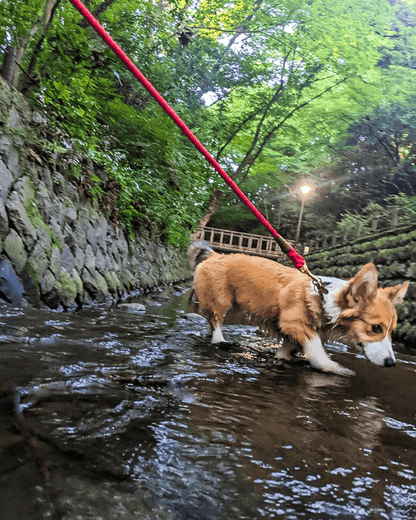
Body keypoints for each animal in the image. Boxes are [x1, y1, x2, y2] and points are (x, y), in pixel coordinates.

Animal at [189, 242, 410, 376]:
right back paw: (219, 340)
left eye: (392, 331)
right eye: (376, 328)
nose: (391, 363)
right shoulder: (294, 323)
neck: (324, 298)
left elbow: (286, 350)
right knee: (216, 320)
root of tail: (215, 254)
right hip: (222, 300)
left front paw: (283, 358)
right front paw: (334, 368)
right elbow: (317, 351)